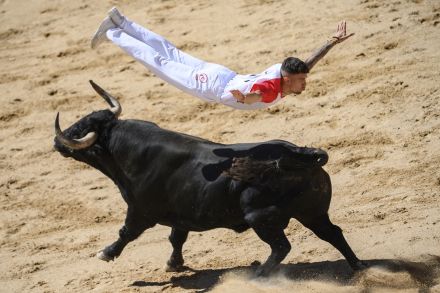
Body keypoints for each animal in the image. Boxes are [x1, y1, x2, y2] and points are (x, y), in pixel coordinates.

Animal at [53, 80, 366, 276]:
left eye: (80, 129)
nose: (57, 142)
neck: (126, 151)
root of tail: (301, 153)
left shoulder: (140, 210)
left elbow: (126, 233)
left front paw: (106, 253)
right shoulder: (180, 214)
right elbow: (176, 237)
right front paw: (174, 264)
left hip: (260, 217)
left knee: (282, 247)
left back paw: (260, 275)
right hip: (312, 211)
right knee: (333, 233)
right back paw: (359, 267)